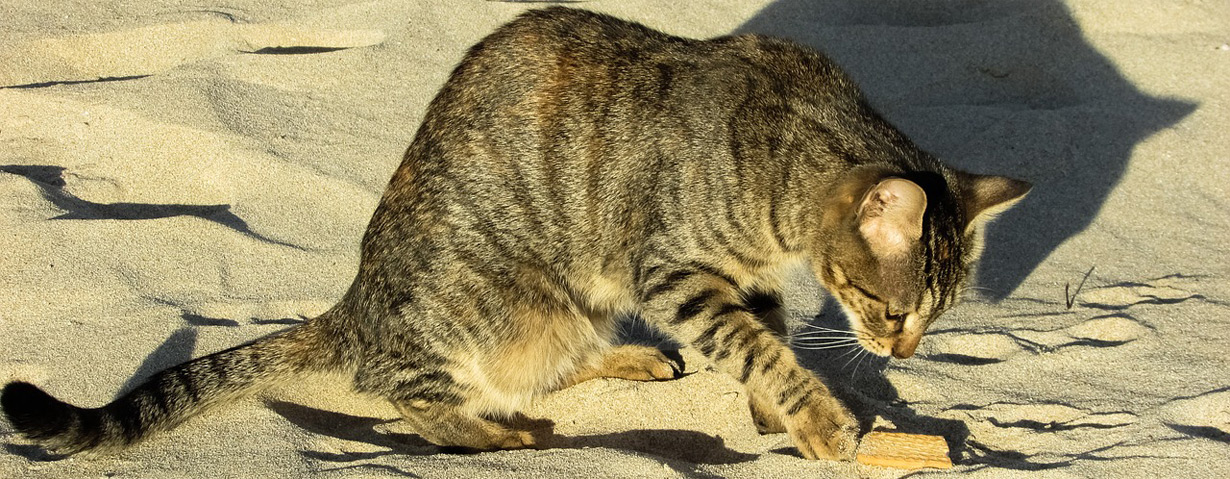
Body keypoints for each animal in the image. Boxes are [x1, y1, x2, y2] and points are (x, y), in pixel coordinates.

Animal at [0, 7, 1028, 460]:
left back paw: (624, 363)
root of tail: (355, 305)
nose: (903, 349)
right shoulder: (673, 271)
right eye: (887, 307)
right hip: (498, 304)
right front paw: (817, 417)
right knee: (408, 392)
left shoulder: (741, 278)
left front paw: (779, 414)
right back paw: (497, 432)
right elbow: (759, 347)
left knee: (548, 364)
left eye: (933, 317)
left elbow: (761, 341)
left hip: (568, 310)